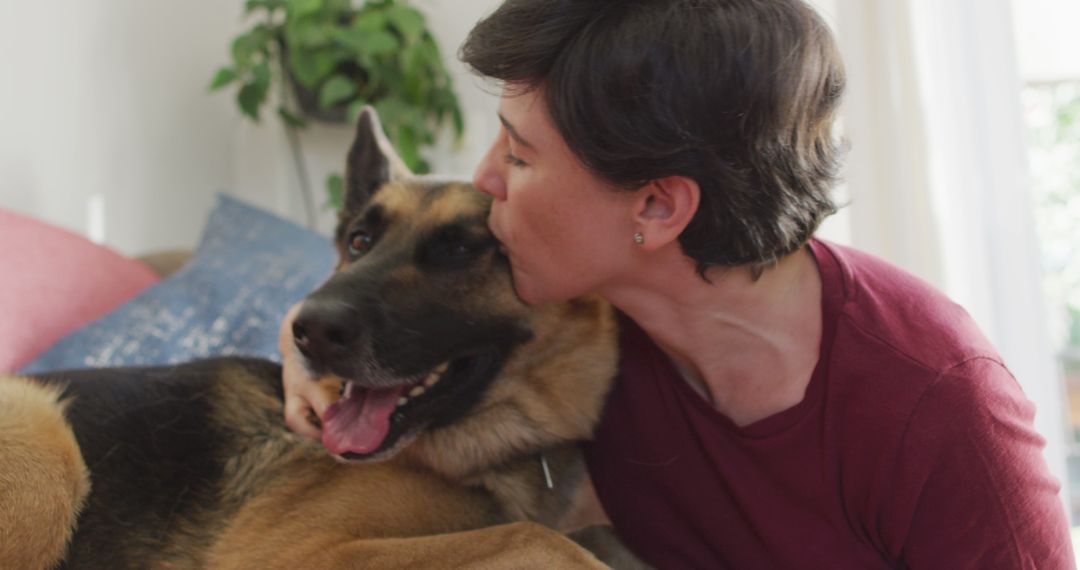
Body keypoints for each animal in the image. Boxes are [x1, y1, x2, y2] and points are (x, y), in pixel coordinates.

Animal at [0, 109, 643, 565]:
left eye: (461, 249)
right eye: (359, 241)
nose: (306, 330)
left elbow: (577, 534)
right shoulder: (295, 552)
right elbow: (537, 537)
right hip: (48, 443)